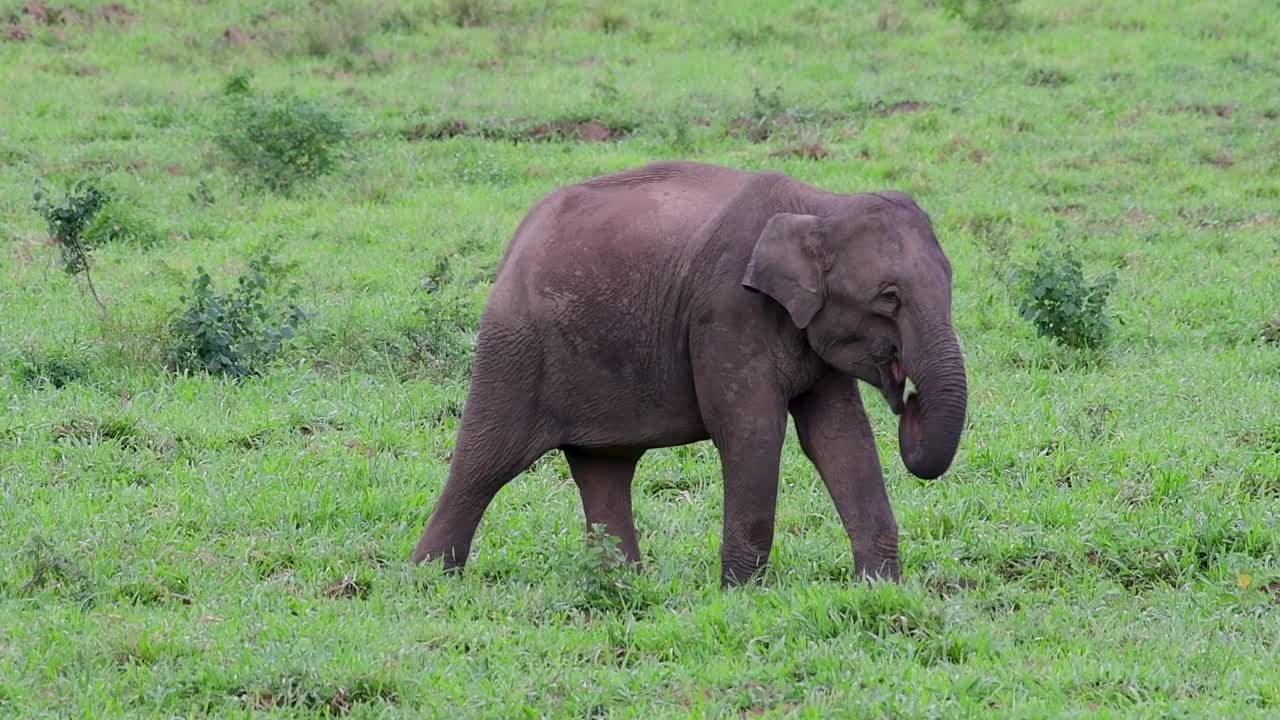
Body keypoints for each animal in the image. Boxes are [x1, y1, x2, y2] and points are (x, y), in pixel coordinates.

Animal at [412, 161, 967, 587]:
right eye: (889, 298)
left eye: (951, 280)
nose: (908, 402)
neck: (819, 205)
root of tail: (515, 240)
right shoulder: (726, 314)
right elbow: (752, 433)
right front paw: (742, 596)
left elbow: (839, 437)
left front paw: (880, 589)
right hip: (516, 346)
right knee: (486, 460)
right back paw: (429, 582)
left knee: (604, 468)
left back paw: (624, 585)